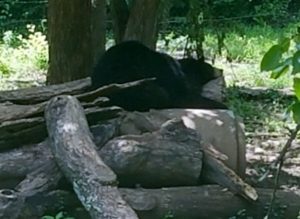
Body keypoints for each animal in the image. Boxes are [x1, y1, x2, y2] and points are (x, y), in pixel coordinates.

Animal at [91, 40, 227, 110]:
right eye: (210, 67)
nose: (221, 69)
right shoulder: (173, 78)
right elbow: (187, 96)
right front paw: (221, 105)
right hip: (132, 83)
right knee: (160, 95)